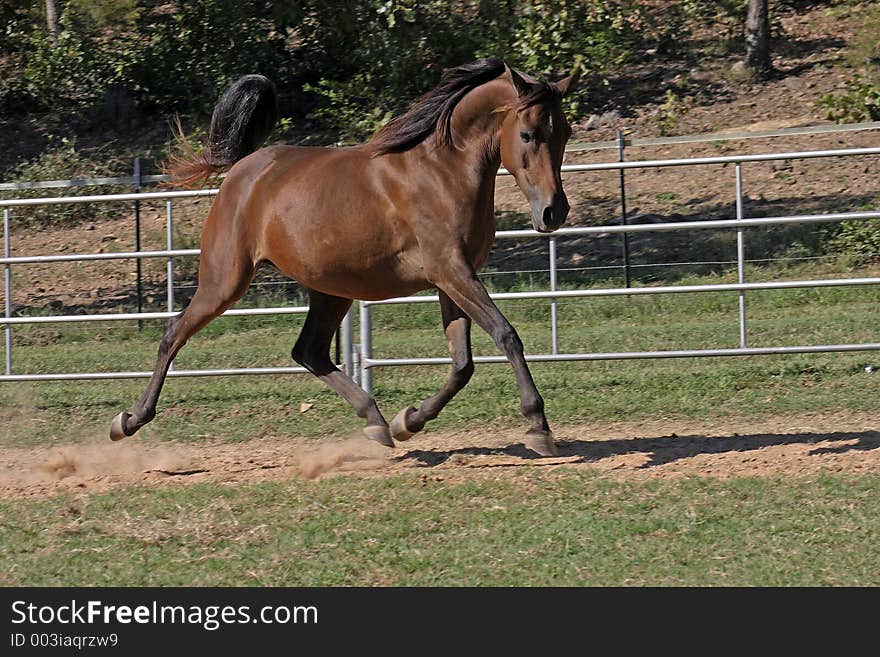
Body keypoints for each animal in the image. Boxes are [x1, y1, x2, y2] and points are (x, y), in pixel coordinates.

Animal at [110, 57, 576, 456]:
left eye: (566, 132)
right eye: (528, 134)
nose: (555, 212)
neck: (442, 171)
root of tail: (245, 169)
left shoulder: (453, 278)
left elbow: (462, 363)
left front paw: (410, 420)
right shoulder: (452, 271)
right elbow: (506, 334)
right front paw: (539, 428)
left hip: (330, 290)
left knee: (310, 351)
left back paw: (377, 423)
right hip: (225, 281)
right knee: (174, 333)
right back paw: (128, 420)